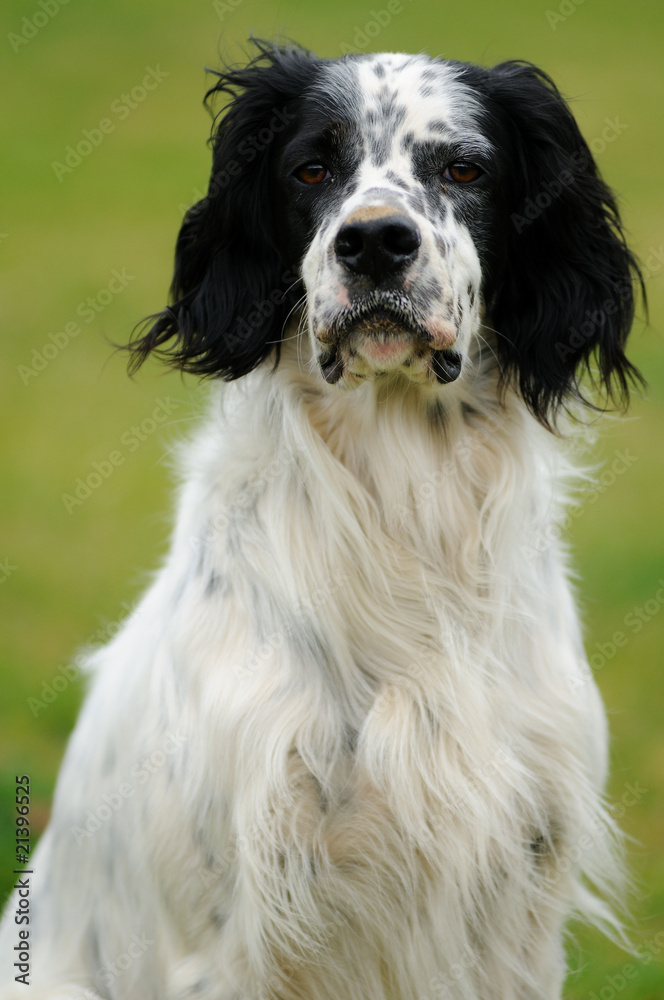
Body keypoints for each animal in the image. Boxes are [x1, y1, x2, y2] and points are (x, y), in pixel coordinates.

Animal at [0, 41, 644, 1000]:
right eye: (311, 168)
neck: (403, 495)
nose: (374, 241)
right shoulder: (236, 935)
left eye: (464, 168)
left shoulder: (519, 905)